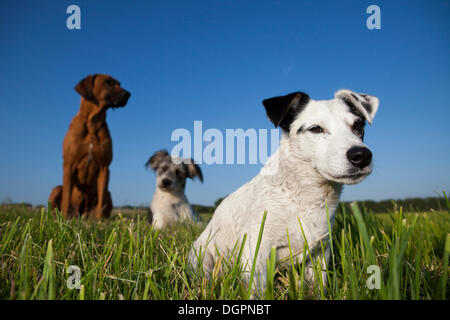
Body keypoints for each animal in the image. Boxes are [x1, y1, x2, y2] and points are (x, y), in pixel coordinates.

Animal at [48, 74, 130, 219]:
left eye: (120, 84)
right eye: (108, 82)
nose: (128, 94)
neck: (92, 123)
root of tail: (81, 214)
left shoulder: (104, 167)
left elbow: (101, 198)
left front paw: (100, 220)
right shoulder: (68, 165)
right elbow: (66, 196)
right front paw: (64, 219)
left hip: (108, 194)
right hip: (56, 189)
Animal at [188, 89, 378, 296]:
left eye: (358, 125)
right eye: (316, 129)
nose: (362, 155)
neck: (304, 198)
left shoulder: (320, 253)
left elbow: (318, 287)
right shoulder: (256, 252)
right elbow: (257, 290)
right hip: (204, 259)